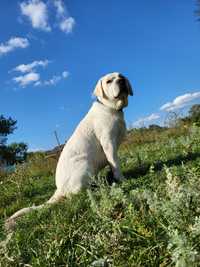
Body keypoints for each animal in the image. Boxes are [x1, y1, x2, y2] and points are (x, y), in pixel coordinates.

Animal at [5, 73, 133, 230]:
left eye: (121, 76)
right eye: (109, 81)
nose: (121, 80)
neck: (111, 108)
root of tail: (59, 189)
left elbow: (112, 165)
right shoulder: (108, 143)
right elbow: (115, 164)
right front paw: (122, 180)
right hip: (85, 165)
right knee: (77, 194)